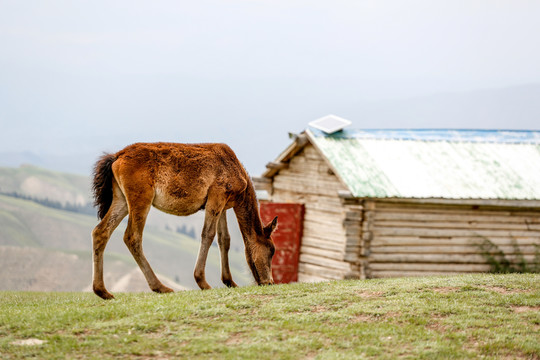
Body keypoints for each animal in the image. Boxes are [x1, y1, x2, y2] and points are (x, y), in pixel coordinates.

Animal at [90, 142, 276, 300]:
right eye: (272, 250)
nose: (269, 281)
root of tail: (116, 157)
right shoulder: (217, 195)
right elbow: (208, 234)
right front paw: (202, 281)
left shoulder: (223, 203)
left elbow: (224, 239)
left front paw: (230, 281)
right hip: (141, 198)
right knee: (132, 237)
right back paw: (160, 287)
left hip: (121, 199)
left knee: (100, 231)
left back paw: (102, 291)